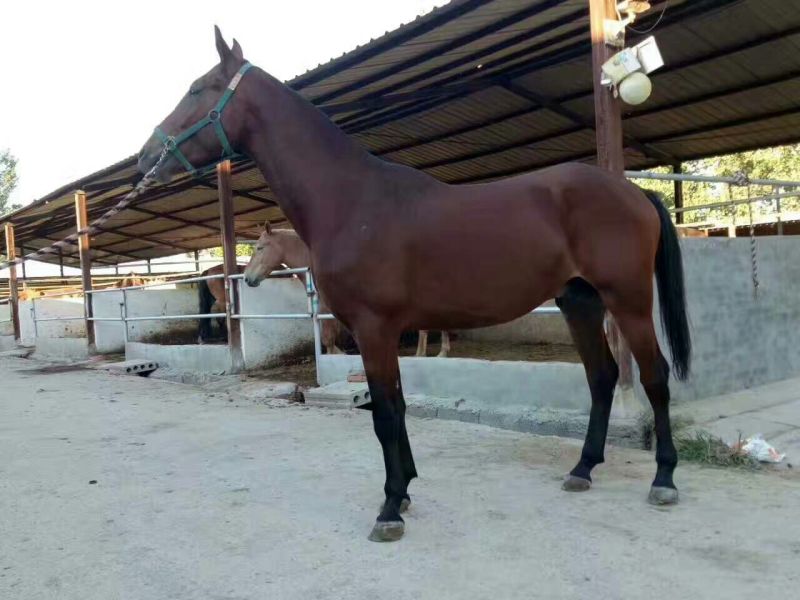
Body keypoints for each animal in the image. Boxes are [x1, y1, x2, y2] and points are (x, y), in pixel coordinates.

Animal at [137, 28, 691, 543]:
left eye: (198, 88)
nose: (145, 158)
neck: (351, 201)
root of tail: (634, 192)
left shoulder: (373, 329)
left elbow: (384, 413)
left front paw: (388, 509)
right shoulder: (384, 332)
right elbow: (398, 406)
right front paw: (403, 492)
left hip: (629, 302)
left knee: (655, 377)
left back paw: (664, 480)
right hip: (579, 301)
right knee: (601, 377)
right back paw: (582, 469)